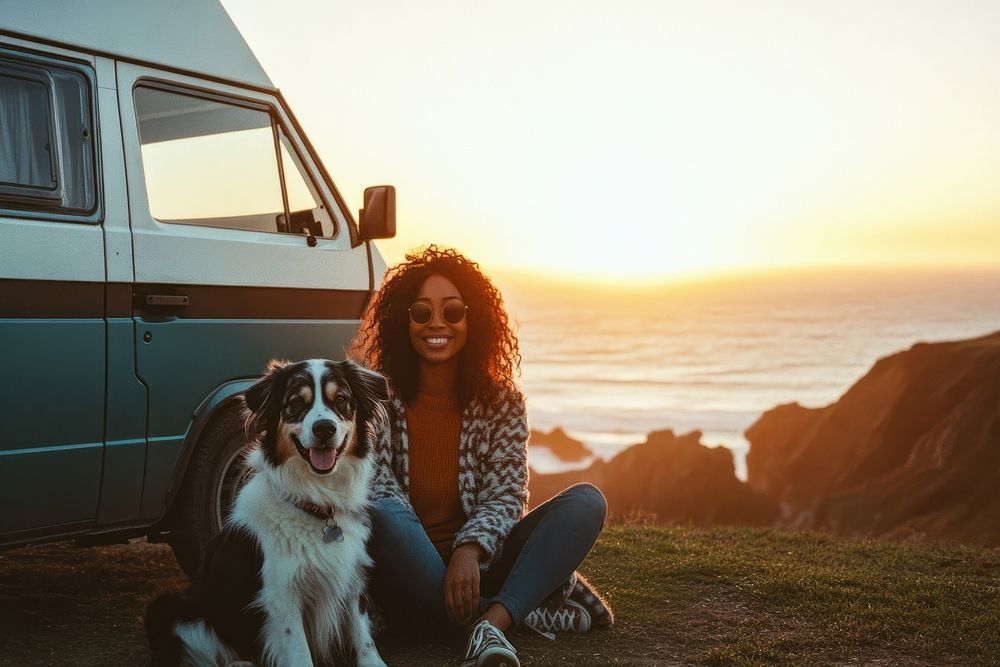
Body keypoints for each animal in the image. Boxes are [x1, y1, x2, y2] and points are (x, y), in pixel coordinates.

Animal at [148, 360, 390, 667]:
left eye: (342, 400)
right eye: (296, 403)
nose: (324, 428)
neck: (315, 503)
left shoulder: (351, 577)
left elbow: (363, 636)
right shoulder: (281, 595)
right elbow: (300, 653)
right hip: (169, 609)